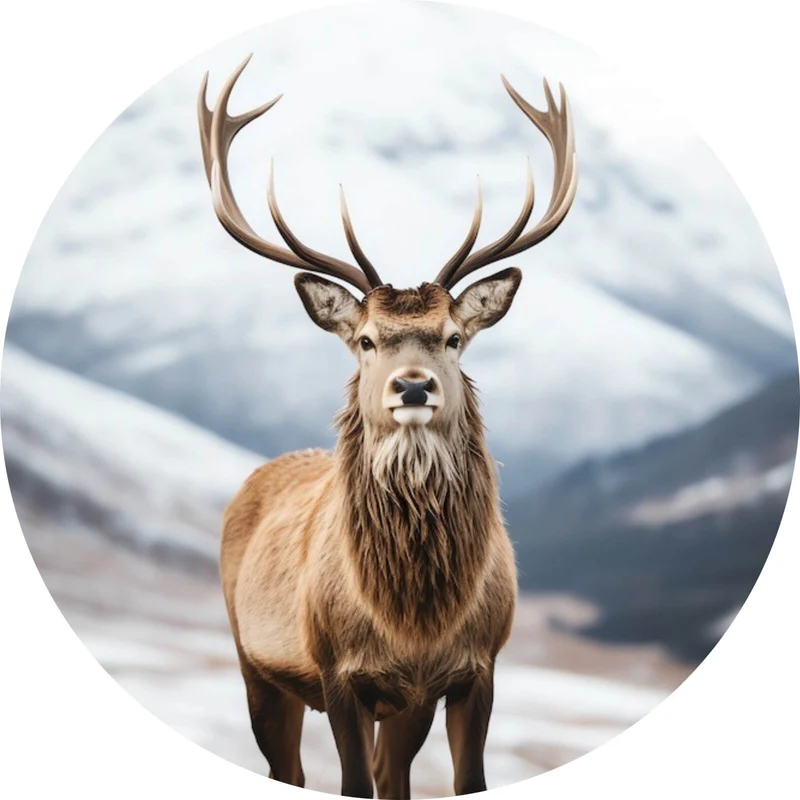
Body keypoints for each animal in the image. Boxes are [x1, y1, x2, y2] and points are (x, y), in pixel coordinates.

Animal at [198, 55, 577, 799]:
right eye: (367, 340)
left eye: (454, 337)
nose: (413, 385)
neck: (413, 619)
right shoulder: (338, 670)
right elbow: (352, 782)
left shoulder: (476, 668)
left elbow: (462, 780)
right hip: (256, 665)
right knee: (288, 768)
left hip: (402, 706)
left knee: (389, 769)